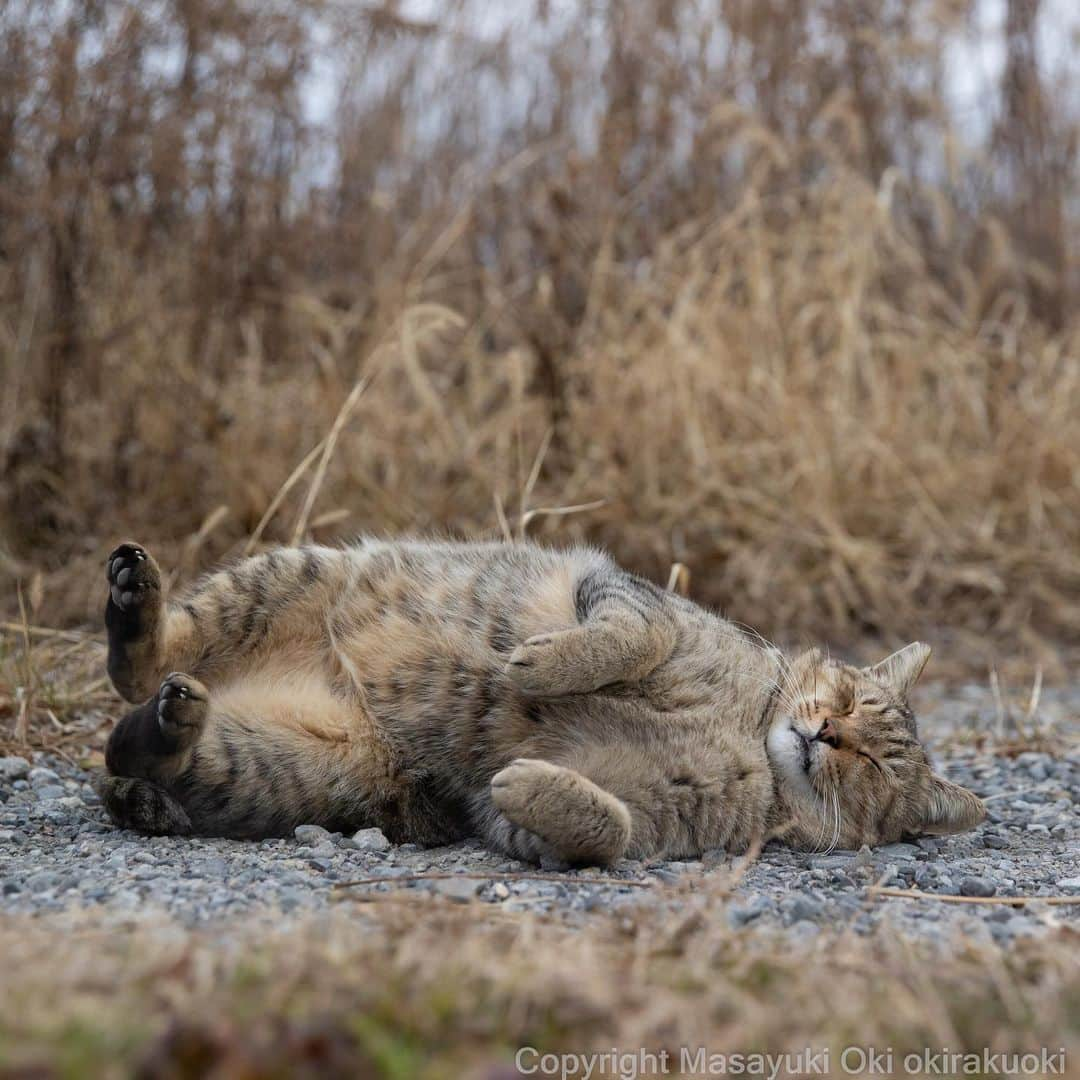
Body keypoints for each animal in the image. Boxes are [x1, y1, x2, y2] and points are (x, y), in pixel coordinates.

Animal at [101, 535, 989, 864]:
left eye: (874, 765)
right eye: (847, 698)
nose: (826, 735)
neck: (750, 732)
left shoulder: (599, 827)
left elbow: (606, 826)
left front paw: (529, 779)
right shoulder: (630, 597)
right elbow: (624, 638)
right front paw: (538, 667)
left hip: (289, 767)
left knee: (133, 738)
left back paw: (167, 728)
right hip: (282, 578)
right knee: (139, 669)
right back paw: (138, 610)